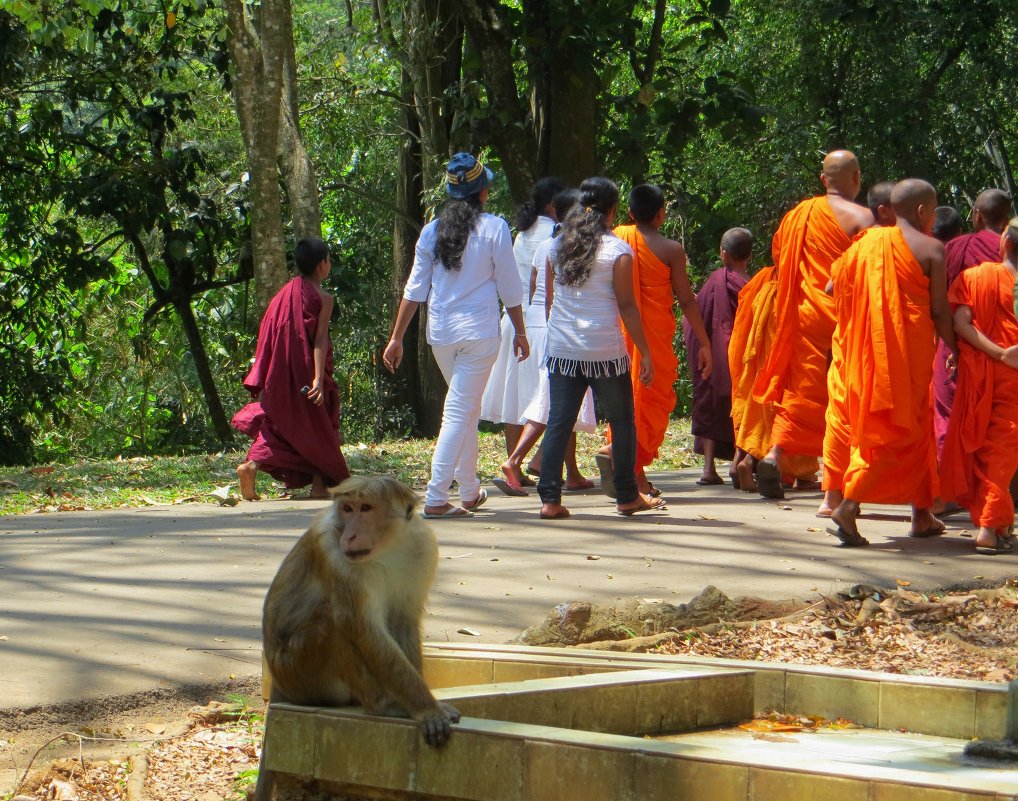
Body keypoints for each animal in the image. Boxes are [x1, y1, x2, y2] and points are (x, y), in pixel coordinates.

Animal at [252, 478, 460, 797]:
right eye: (347, 509)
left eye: (366, 508)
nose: (350, 535)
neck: (388, 548)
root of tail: (277, 679)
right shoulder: (334, 552)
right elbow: (365, 630)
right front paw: (427, 709)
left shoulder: (423, 546)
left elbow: (403, 620)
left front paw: (423, 703)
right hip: (298, 672)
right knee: (336, 621)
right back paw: (383, 706)